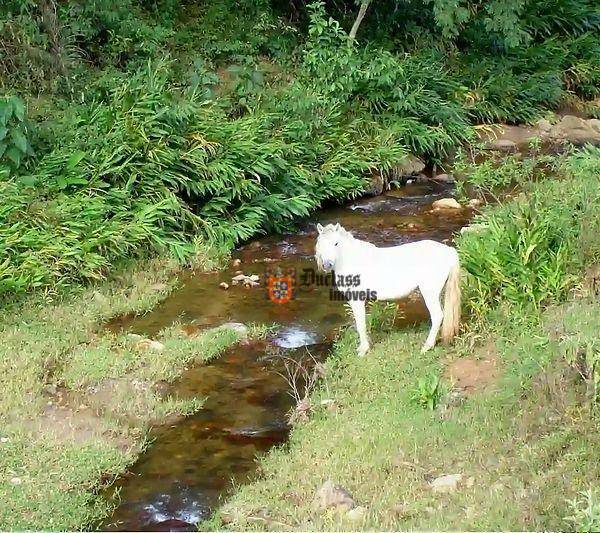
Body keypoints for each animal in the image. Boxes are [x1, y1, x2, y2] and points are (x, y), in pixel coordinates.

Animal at [316, 222, 462, 356]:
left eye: (336, 243)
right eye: (320, 244)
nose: (327, 265)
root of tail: (448, 251)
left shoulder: (357, 299)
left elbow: (360, 323)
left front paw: (363, 350)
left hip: (429, 292)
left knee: (437, 315)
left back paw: (427, 346)